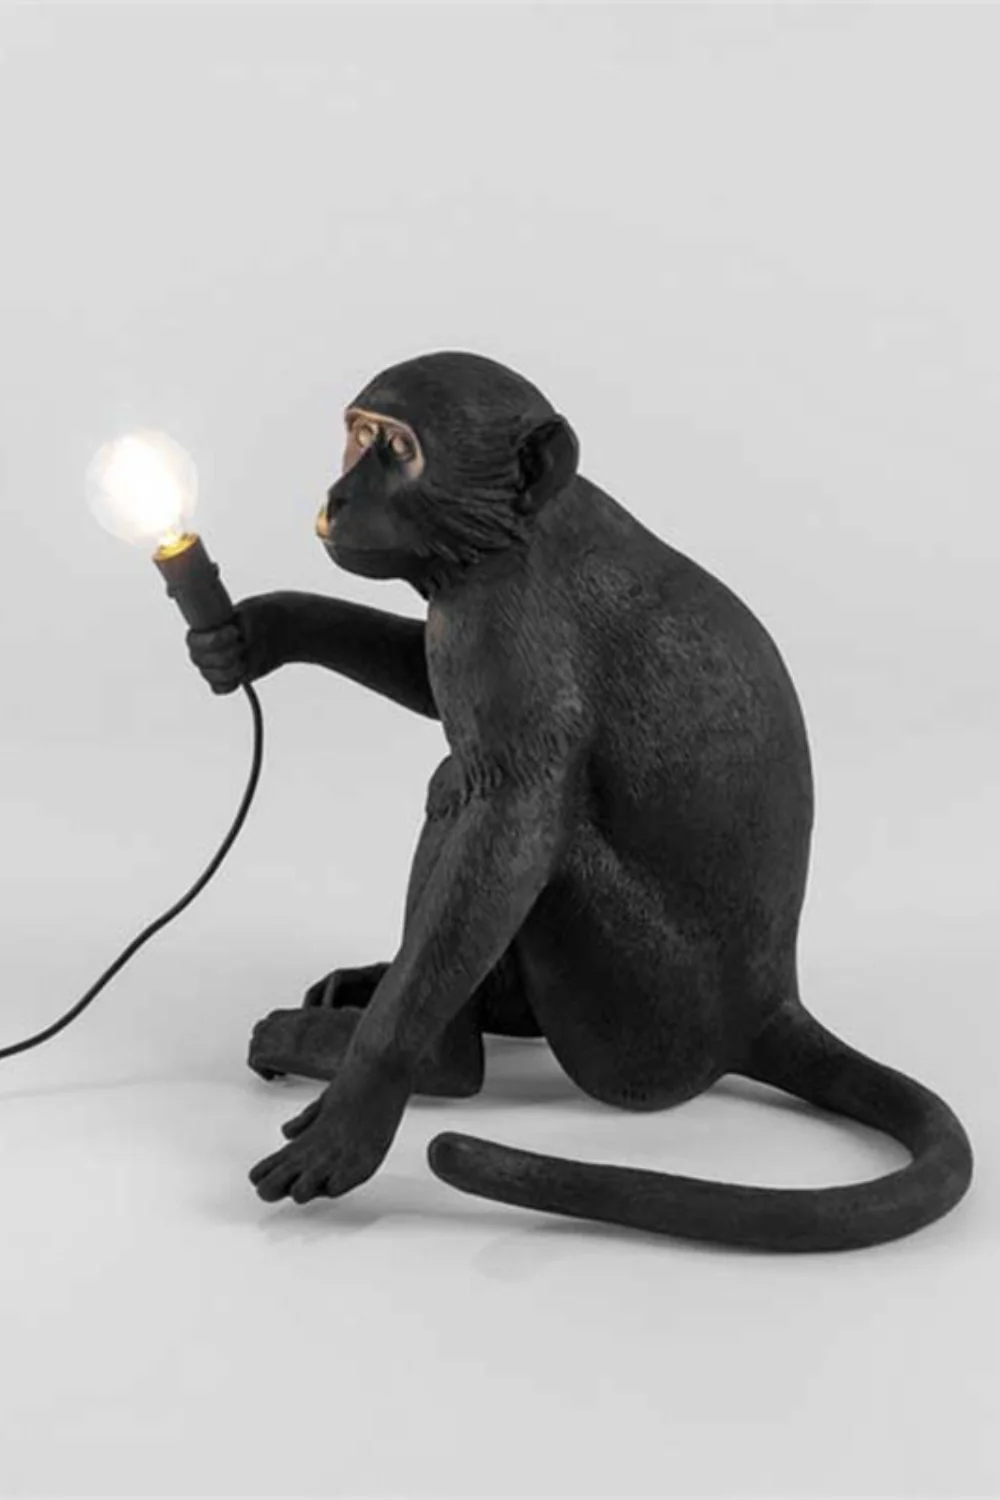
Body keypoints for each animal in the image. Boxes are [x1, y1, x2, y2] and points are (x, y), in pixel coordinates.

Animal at [187, 350, 973, 1251]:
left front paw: (364, 1100)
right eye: (356, 437)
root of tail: (768, 1006)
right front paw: (261, 628)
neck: (517, 533)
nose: (336, 495)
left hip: (635, 1025)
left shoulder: (500, 624)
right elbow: (425, 682)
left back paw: (435, 1059)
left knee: (460, 789)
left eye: (398, 450)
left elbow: (513, 822)